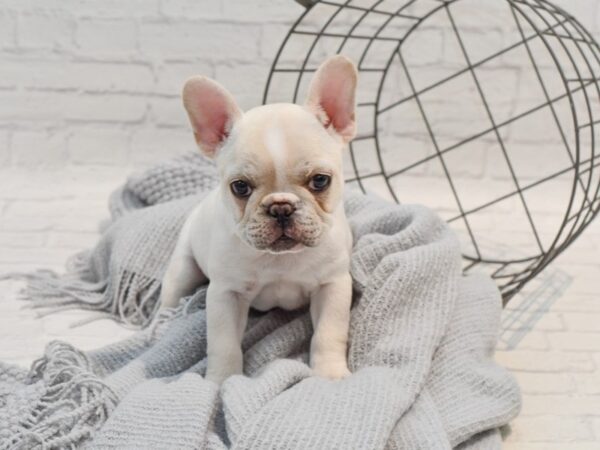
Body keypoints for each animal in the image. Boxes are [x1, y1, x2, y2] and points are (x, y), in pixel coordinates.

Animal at [158, 53, 356, 384]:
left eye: (320, 181)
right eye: (240, 187)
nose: (281, 207)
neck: (281, 260)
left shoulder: (333, 285)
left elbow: (329, 332)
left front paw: (329, 374)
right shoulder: (226, 294)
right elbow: (224, 343)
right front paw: (222, 380)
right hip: (182, 269)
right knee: (171, 296)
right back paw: (160, 328)